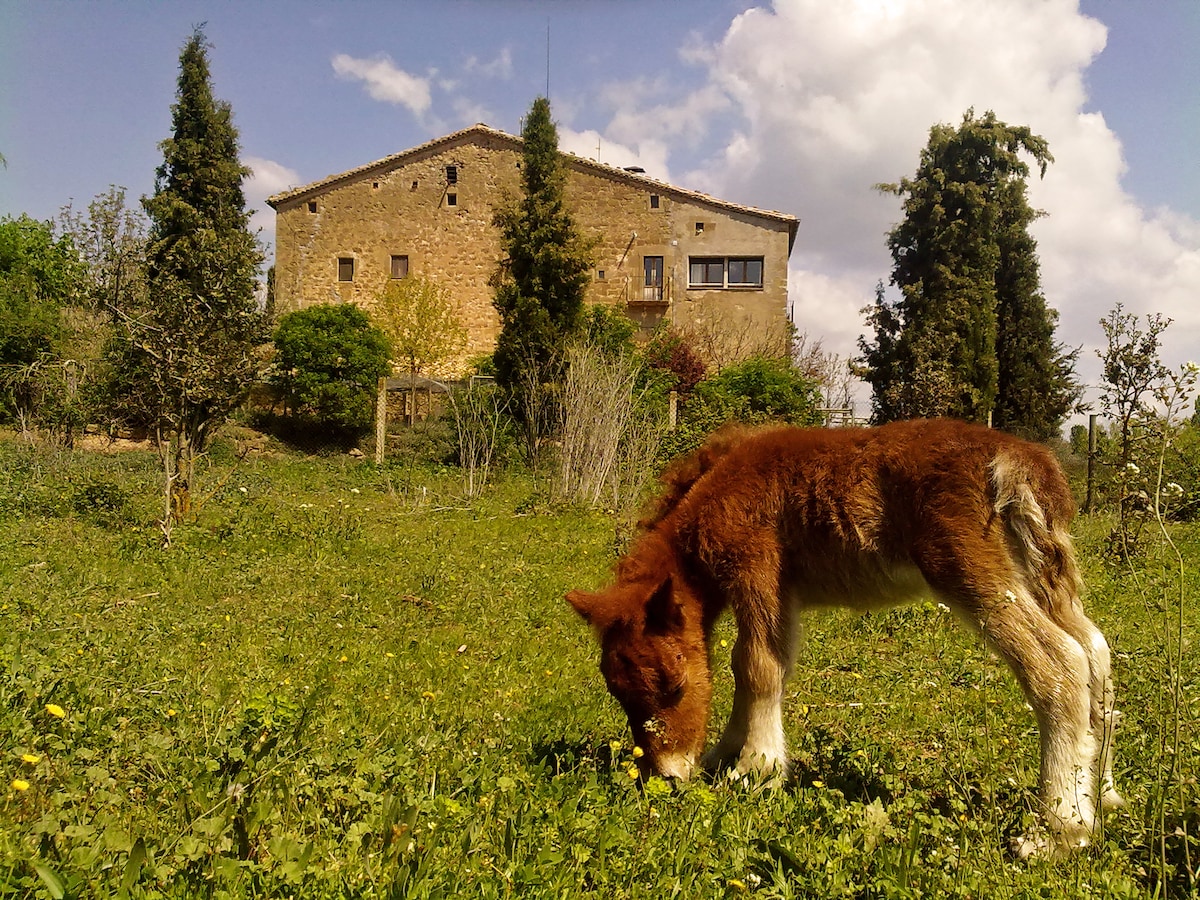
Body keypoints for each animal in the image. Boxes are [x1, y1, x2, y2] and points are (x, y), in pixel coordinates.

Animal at [566, 420, 1118, 854]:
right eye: (618, 693)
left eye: (673, 685)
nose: (667, 777)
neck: (717, 485)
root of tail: (1024, 463)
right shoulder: (781, 593)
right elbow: (753, 667)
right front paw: (724, 758)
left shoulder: (757, 567)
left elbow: (757, 665)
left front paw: (756, 769)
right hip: (1043, 577)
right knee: (1096, 653)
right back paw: (1103, 796)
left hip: (971, 573)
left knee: (1060, 665)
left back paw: (1059, 831)